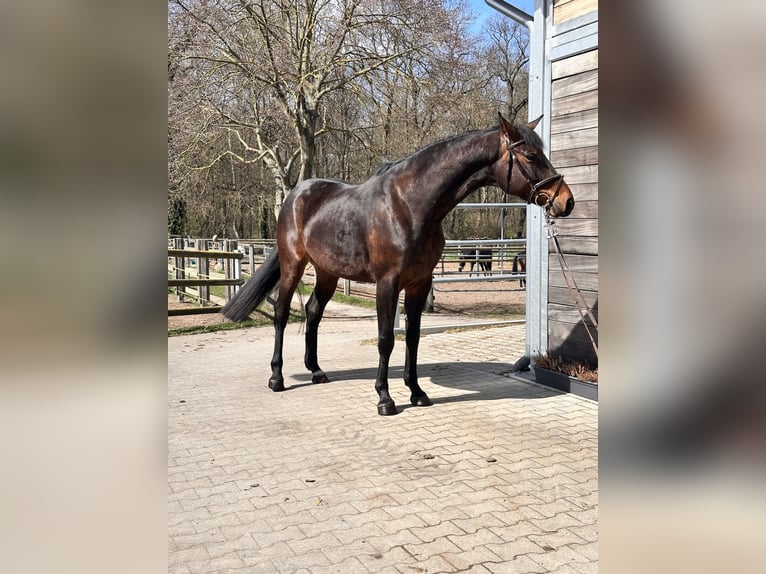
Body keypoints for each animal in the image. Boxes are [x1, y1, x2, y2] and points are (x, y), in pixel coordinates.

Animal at [221, 113, 574, 415]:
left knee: (313, 312)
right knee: (282, 313)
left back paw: (317, 371)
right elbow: (385, 339)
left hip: (327, 273)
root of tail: (296, 195)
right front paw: (385, 398)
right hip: (293, 264)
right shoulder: (387, 283)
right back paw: (277, 378)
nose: (566, 201)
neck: (410, 206)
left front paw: (417, 392)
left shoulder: (419, 284)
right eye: (530, 156)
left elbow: (413, 338)